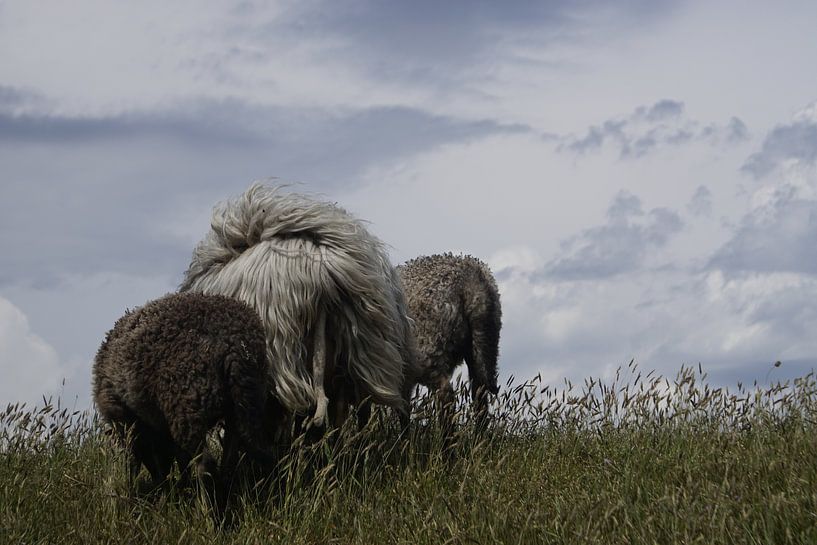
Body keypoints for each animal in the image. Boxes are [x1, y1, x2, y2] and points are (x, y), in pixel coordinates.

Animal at [91, 292, 272, 512]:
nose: (161, 482)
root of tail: (234, 345)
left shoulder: (123, 419)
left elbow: (131, 460)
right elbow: (181, 460)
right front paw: (180, 492)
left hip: (186, 407)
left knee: (205, 465)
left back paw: (208, 513)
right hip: (241, 405)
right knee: (228, 461)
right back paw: (224, 501)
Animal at [398, 253, 500, 432]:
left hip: (428, 349)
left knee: (446, 397)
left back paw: (447, 438)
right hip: (484, 344)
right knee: (479, 395)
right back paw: (479, 437)